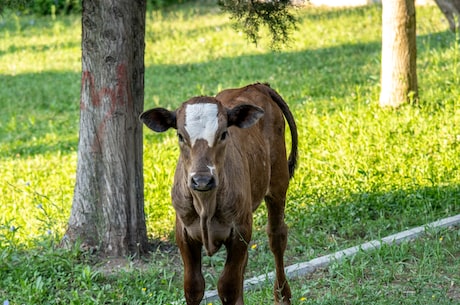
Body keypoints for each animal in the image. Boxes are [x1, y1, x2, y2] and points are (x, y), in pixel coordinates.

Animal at [140, 83, 298, 304]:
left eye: (224, 134)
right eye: (180, 136)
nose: (202, 180)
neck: (205, 205)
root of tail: (257, 86)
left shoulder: (240, 230)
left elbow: (227, 286)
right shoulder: (183, 233)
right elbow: (193, 286)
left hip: (278, 183)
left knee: (277, 237)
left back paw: (283, 296)